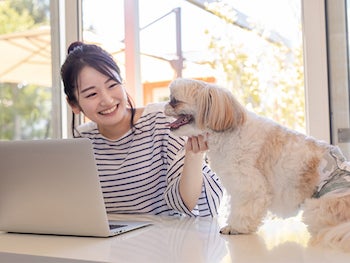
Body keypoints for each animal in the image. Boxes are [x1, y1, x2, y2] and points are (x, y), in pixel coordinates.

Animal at [163, 78, 350, 252]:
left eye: (175, 100)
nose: (165, 105)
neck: (227, 132)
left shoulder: (248, 185)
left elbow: (244, 208)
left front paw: (235, 227)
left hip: (318, 206)